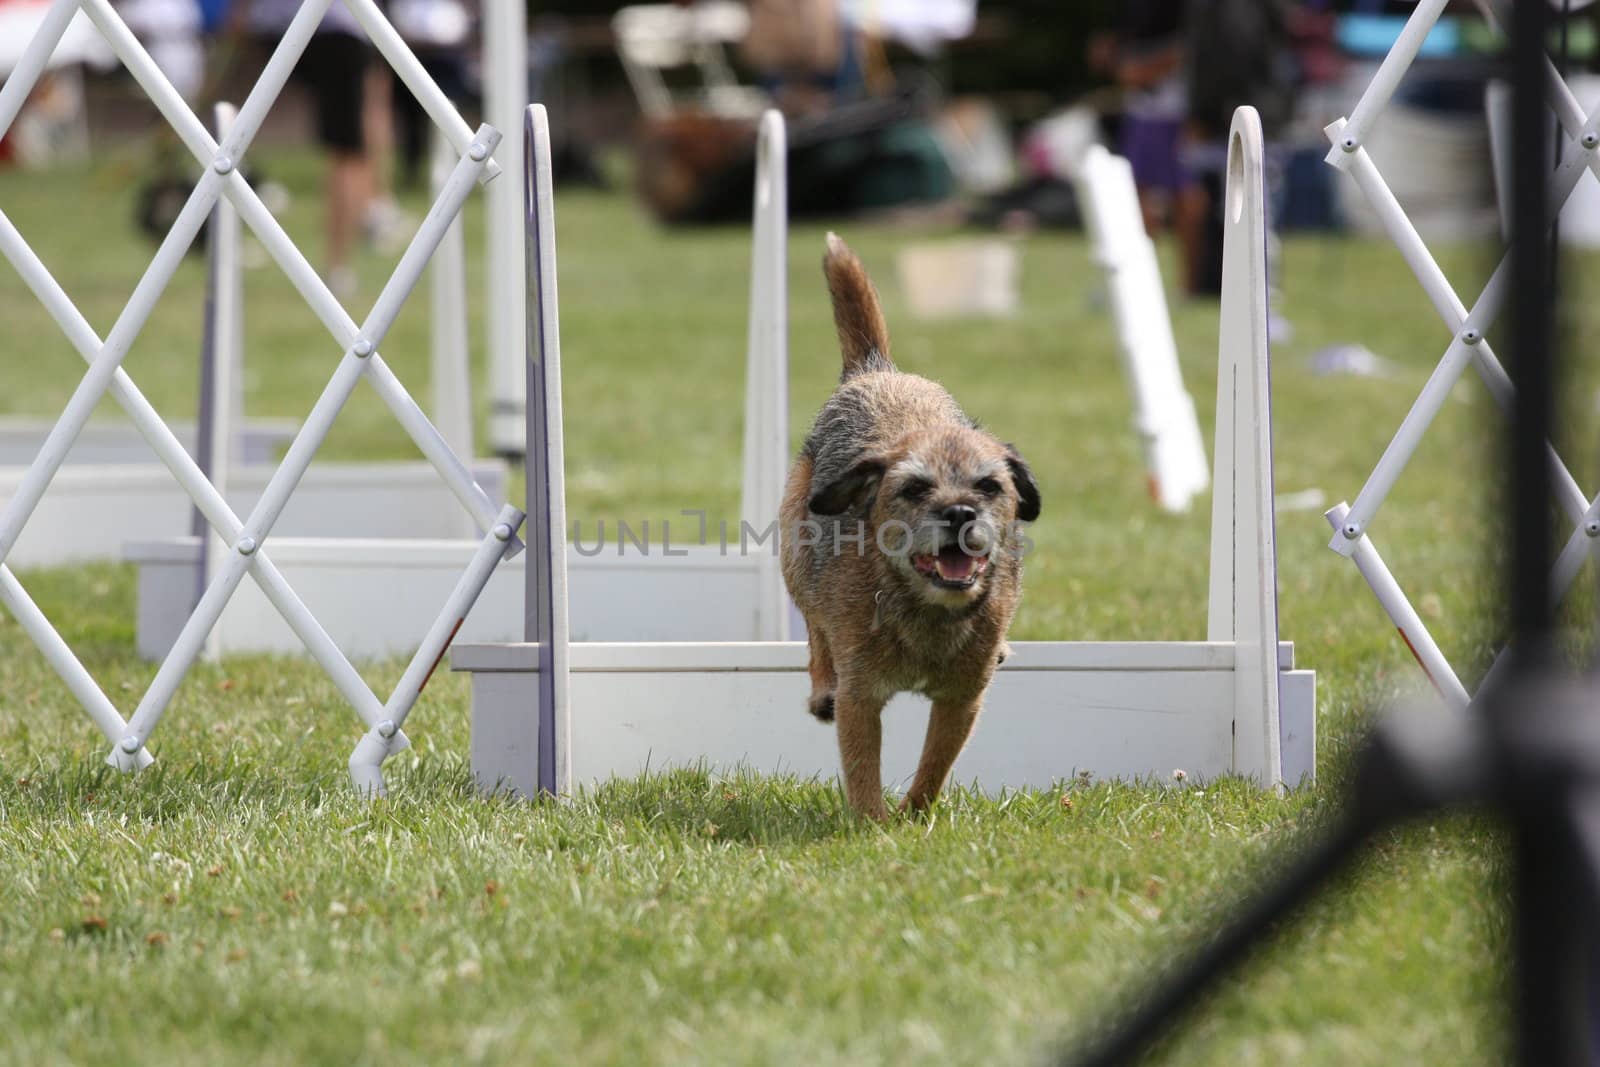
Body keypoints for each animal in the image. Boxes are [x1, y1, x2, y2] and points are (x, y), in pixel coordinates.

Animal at [780, 235, 1043, 819]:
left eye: (989, 486)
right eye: (915, 488)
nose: (960, 512)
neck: (925, 607)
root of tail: (875, 371)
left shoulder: (961, 699)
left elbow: (934, 765)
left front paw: (913, 815)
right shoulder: (861, 697)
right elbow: (863, 767)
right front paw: (873, 824)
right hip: (794, 547)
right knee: (813, 623)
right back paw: (820, 681)